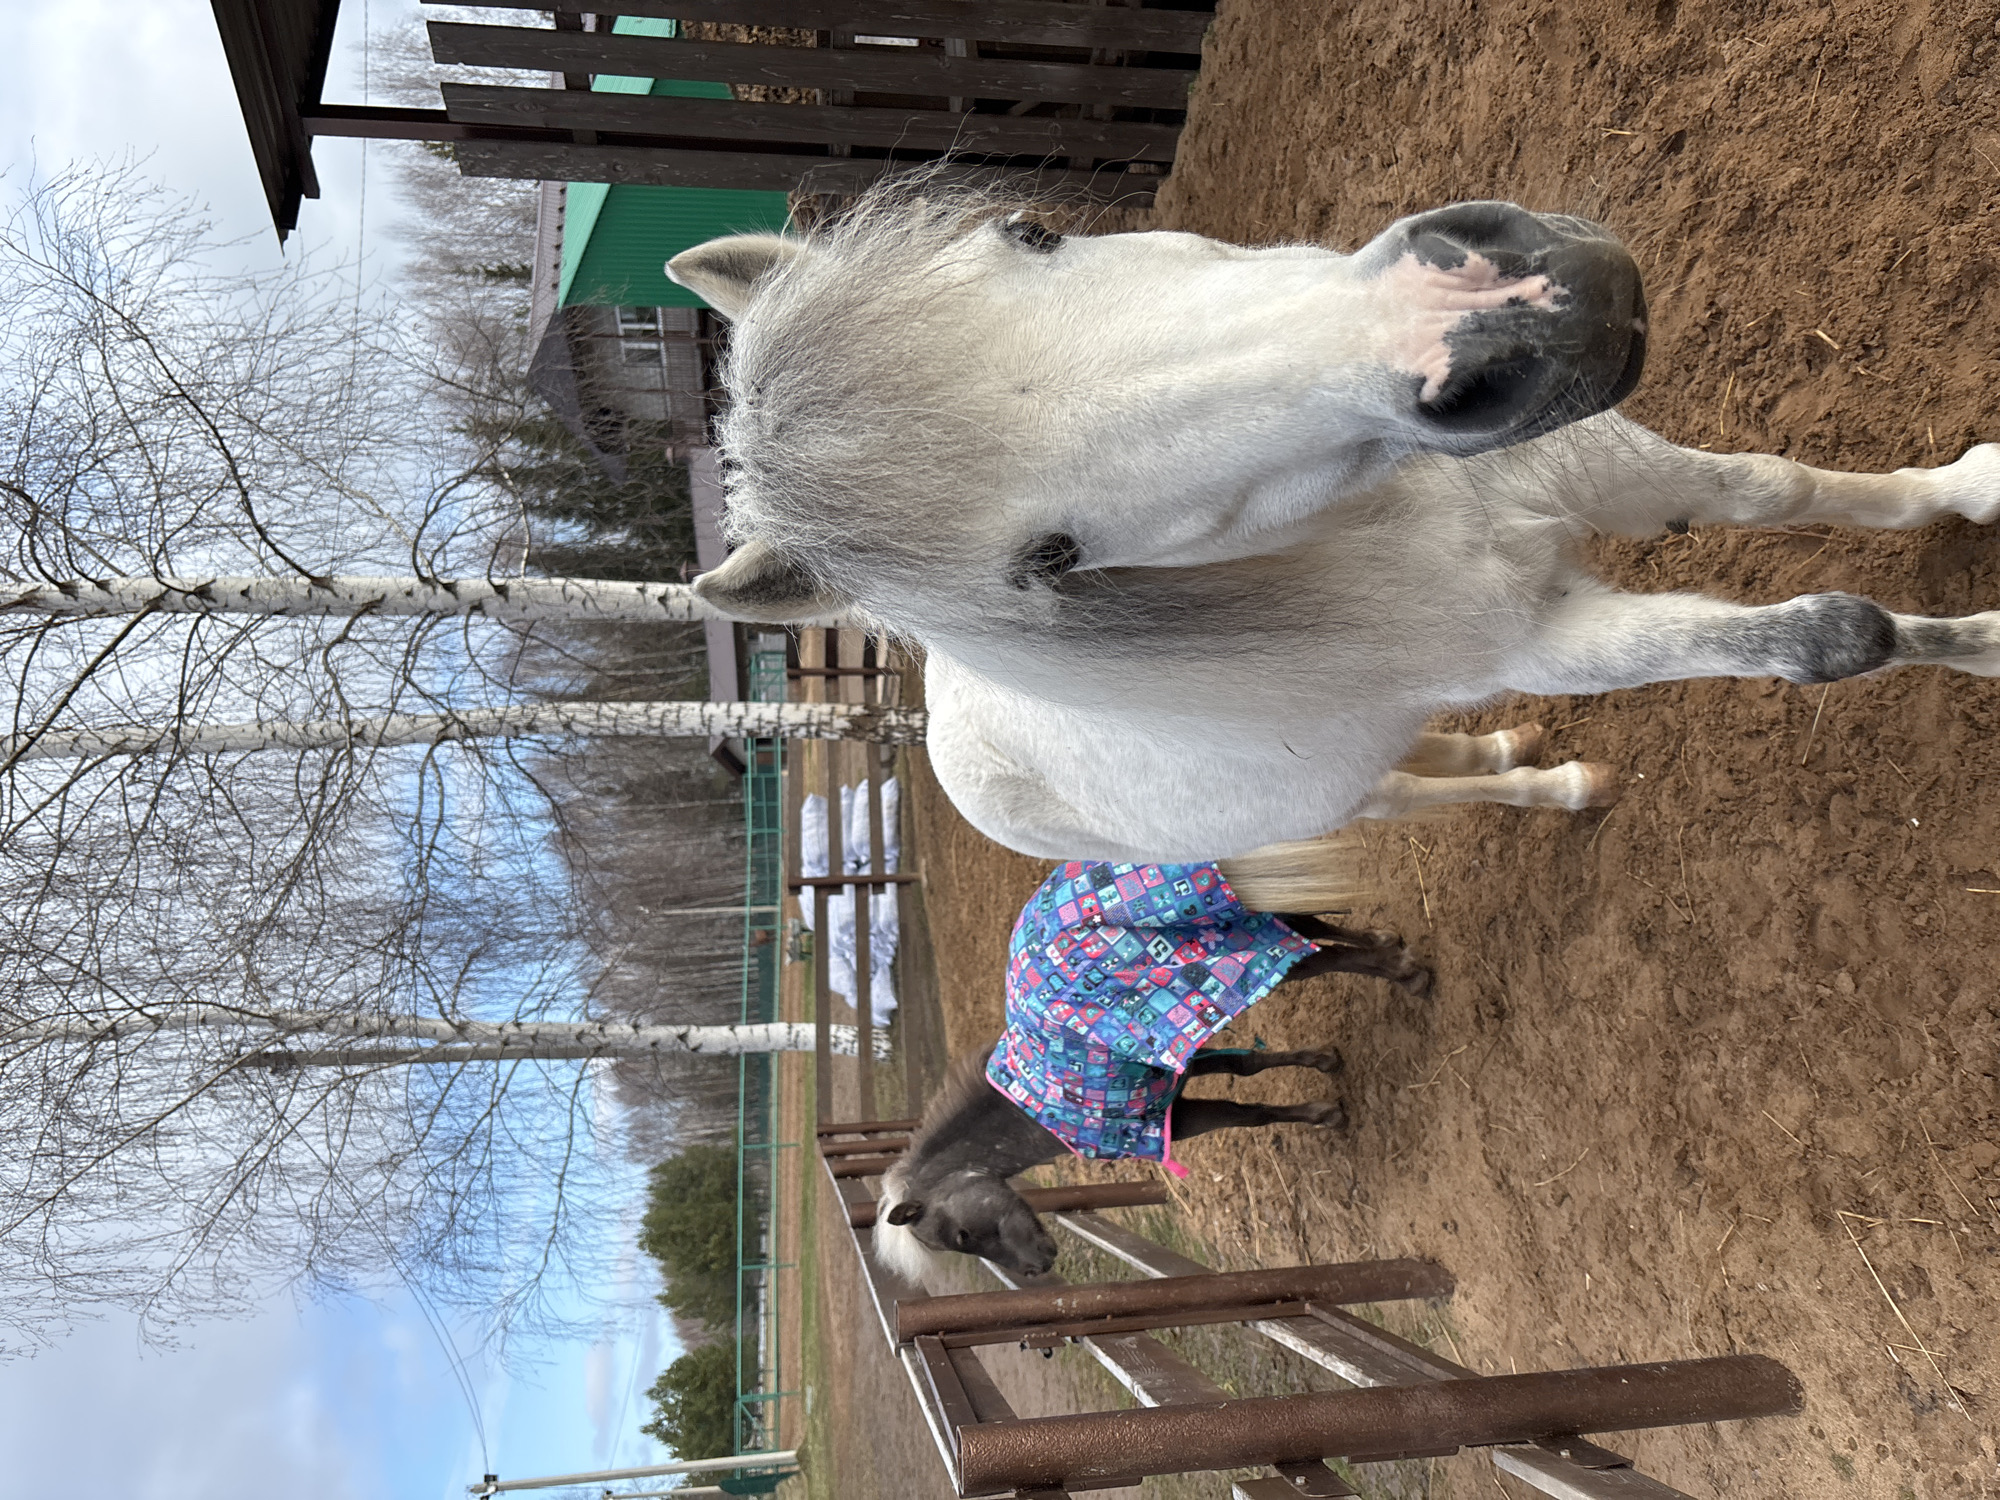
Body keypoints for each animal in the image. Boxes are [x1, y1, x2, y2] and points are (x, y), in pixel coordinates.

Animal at [670, 185, 2000, 862]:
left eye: (1030, 234)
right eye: (1048, 559)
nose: (1504, 307)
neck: (1389, 524)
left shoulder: (1584, 460)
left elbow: (1777, 488)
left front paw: (1973, 490)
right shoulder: (1545, 638)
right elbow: (1830, 637)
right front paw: (1980, 644)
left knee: (1424, 760)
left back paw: (1506, 753)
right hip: (1324, 804)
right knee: (1403, 799)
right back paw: (1554, 786)